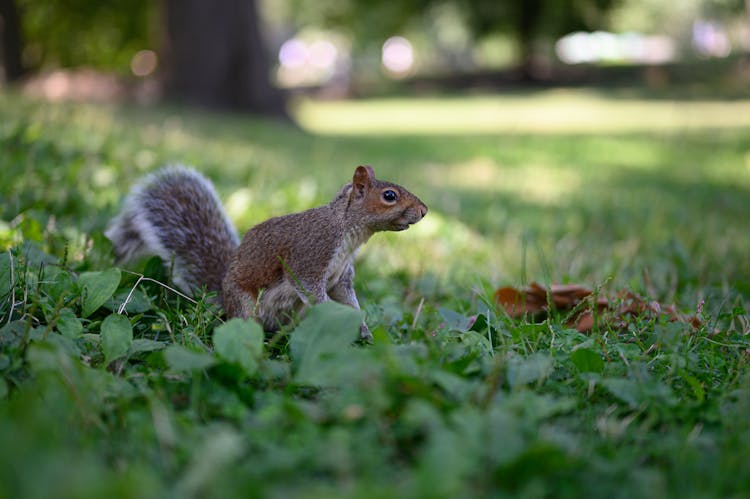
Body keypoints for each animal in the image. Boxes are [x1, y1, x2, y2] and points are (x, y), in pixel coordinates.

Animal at [104, 165, 428, 340]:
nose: (424, 211)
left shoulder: (340, 278)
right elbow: (313, 291)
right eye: (389, 196)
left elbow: (348, 300)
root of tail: (222, 297)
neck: (348, 232)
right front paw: (340, 321)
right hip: (246, 305)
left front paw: (363, 330)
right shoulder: (309, 258)